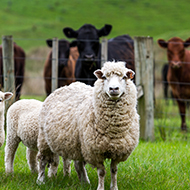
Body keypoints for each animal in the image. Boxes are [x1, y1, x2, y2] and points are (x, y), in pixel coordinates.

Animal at [36, 61, 140, 190]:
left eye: (124, 77)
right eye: (104, 77)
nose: (113, 89)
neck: (113, 129)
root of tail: (65, 86)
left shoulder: (118, 150)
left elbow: (114, 170)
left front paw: (114, 187)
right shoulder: (94, 151)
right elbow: (102, 172)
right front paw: (100, 188)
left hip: (78, 144)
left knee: (79, 164)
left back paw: (85, 182)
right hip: (44, 139)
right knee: (42, 160)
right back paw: (40, 181)